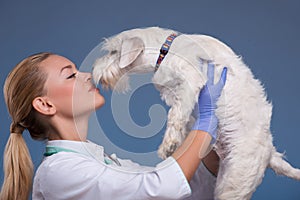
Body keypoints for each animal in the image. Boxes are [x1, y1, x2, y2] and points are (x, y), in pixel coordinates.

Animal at [92, 27, 298, 200]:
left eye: (113, 52)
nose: (94, 71)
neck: (164, 51)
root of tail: (269, 152)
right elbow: (182, 117)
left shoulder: (189, 83)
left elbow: (175, 116)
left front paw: (168, 145)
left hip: (235, 182)